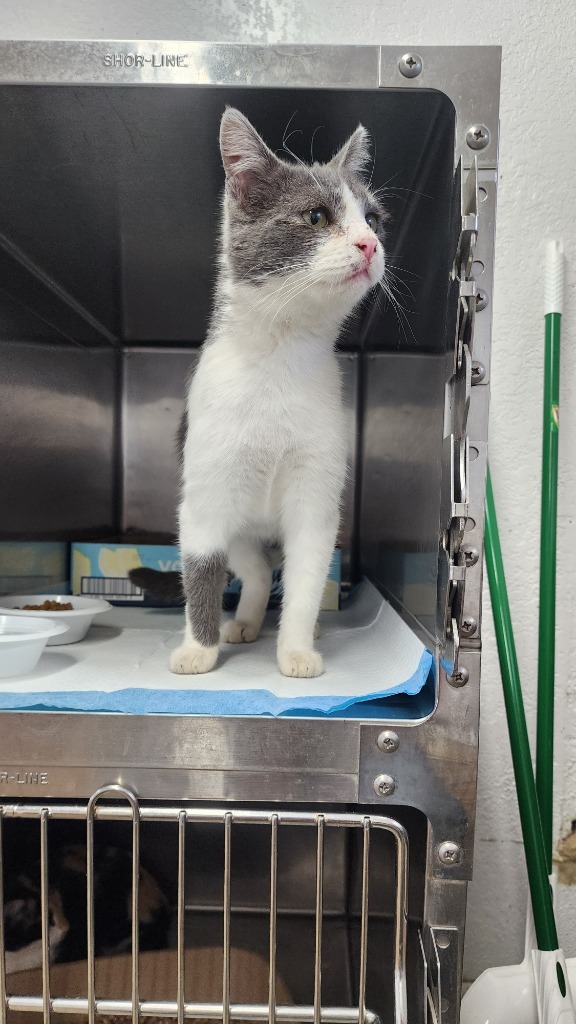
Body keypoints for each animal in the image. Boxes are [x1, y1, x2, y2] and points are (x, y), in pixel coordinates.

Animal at [170, 108, 385, 679]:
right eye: (315, 217)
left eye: (373, 219)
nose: (370, 245)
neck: (279, 357)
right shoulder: (204, 495)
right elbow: (201, 567)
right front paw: (198, 650)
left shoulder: (317, 497)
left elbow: (307, 575)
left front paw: (297, 651)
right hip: (239, 525)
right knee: (255, 567)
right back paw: (242, 623)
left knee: (272, 568)